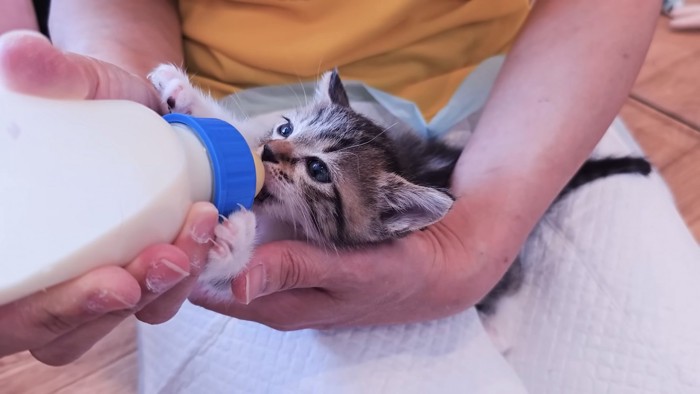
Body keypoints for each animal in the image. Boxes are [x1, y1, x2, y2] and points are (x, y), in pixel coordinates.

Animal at [148, 65, 652, 330]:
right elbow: (231, 130)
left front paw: (229, 241)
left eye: (318, 170)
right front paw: (182, 92)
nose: (269, 150)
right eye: (286, 128)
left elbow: (232, 277)